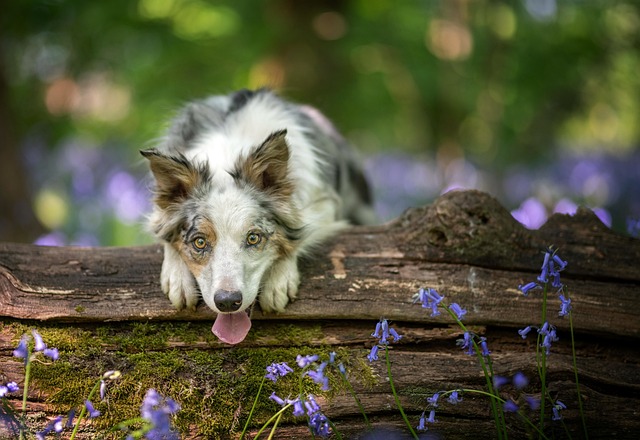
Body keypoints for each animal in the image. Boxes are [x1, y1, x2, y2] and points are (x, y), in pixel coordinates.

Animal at [142, 89, 372, 344]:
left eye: (253, 238)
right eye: (199, 242)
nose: (228, 302)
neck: (228, 156)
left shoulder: (324, 204)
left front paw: (279, 280)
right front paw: (177, 279)